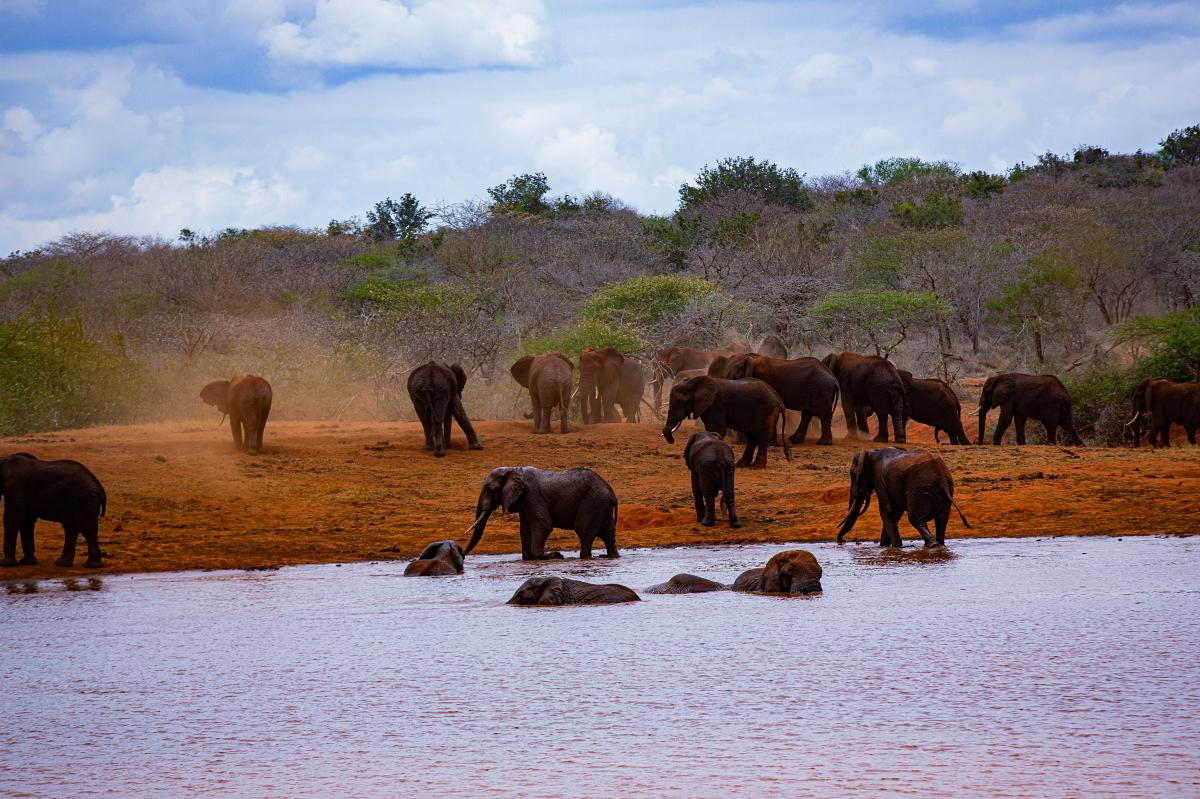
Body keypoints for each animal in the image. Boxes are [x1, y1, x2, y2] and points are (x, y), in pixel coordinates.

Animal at [466, 466, 619, 560]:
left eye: (489, 489)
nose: (463, 555)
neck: (513, 469)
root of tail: (612, 494)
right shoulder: (524, 501)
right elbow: (525, 529)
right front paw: (528, 558)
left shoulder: (531, 495)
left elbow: (544, 525)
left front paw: (554, 555)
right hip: (601, 505)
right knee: (608, 532)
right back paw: (611, 557)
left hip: (593, 502)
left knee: (584, 531)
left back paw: (586, 557)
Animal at [836, 447, 970, 548]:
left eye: (853, 474)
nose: (841, 542)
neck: (872, 452)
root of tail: (941, 477)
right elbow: (894, 514)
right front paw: (884, 547)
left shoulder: (880, 480)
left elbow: (887, 512)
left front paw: (896, 547)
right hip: (947, 489)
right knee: (941, 521)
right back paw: (939, 545)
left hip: (919, 489)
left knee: (915, 518)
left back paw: (933, 545)